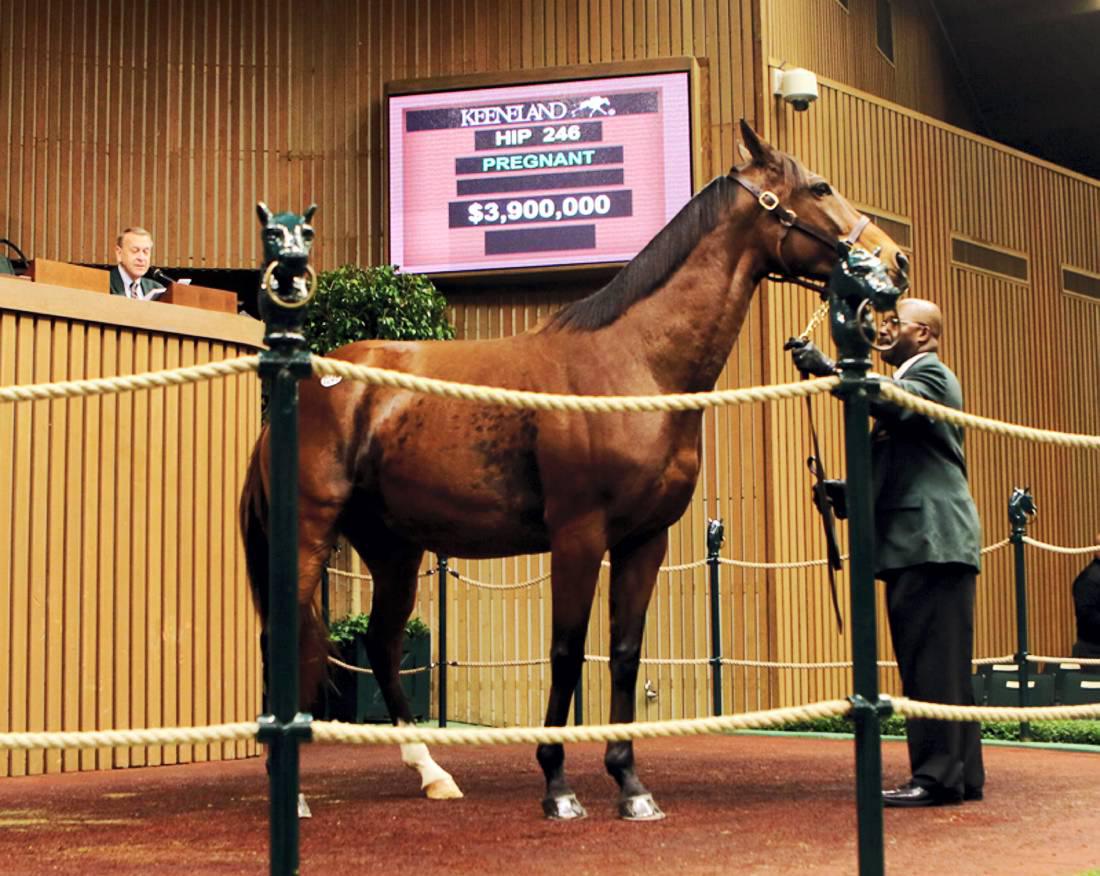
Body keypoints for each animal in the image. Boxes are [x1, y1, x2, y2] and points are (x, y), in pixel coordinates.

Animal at [239, 121, 910, 820]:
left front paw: (630, 784)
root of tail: (302, 383)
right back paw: (294, 794)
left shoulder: (645, 541)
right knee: (287, 640)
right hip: (309, 537)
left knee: (381, 643)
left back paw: (432, 773)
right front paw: (558, 785)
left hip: (392, 549)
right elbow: (566, 652)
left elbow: (623, 654)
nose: (895, 261)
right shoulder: (578, 536)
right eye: (820, 187)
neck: (633, 364)